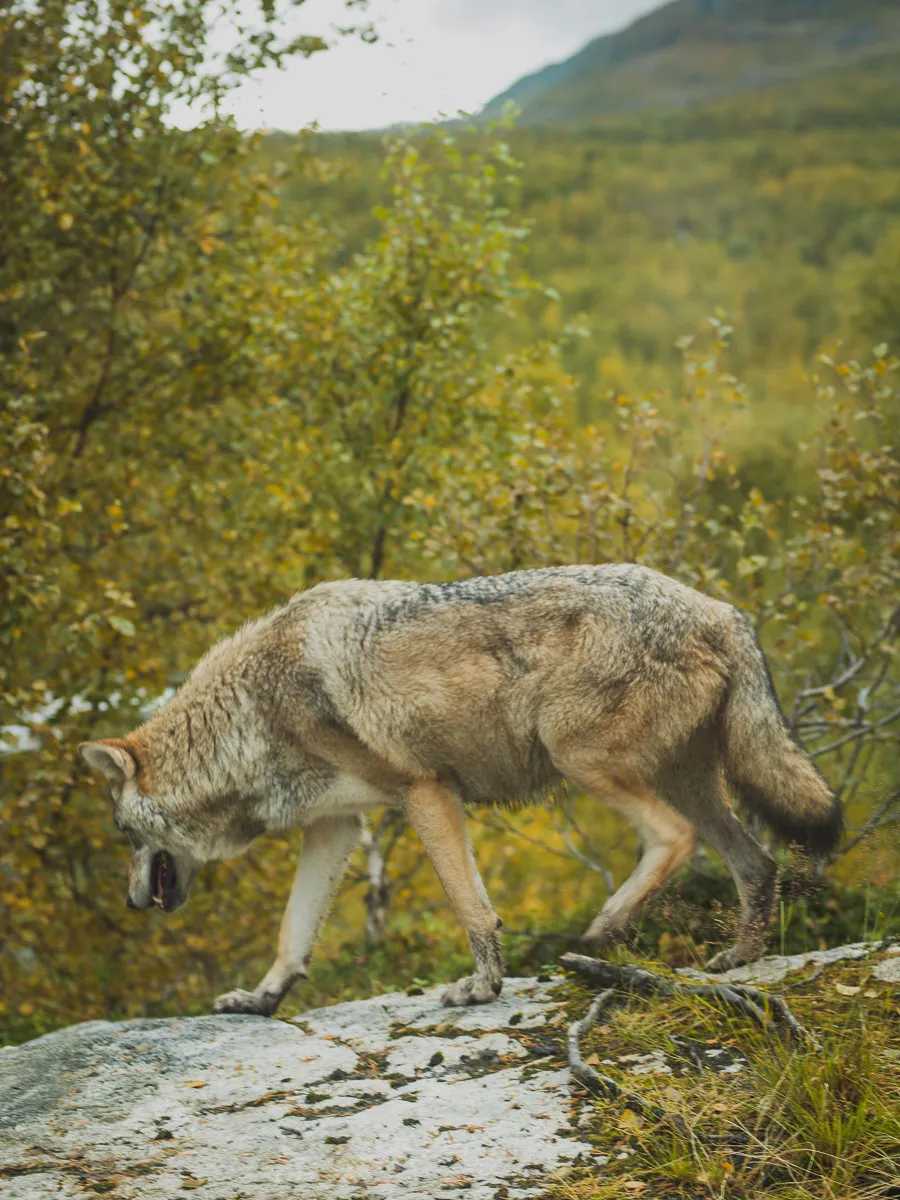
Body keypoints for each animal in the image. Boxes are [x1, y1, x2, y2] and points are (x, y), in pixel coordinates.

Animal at [80, 565, 841, 1014]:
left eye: (123, 836)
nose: (129, 900)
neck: (253, 710)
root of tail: (722, 609)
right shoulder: (336, 827)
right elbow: (292, 934)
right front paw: (263, 1000)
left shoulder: (424, 791)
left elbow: (470, 906)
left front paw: (482, 985)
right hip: (688, 783)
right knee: (758, 862)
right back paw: (739, 959)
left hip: (583, 761)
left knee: (674, 840)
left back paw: (601, 931)